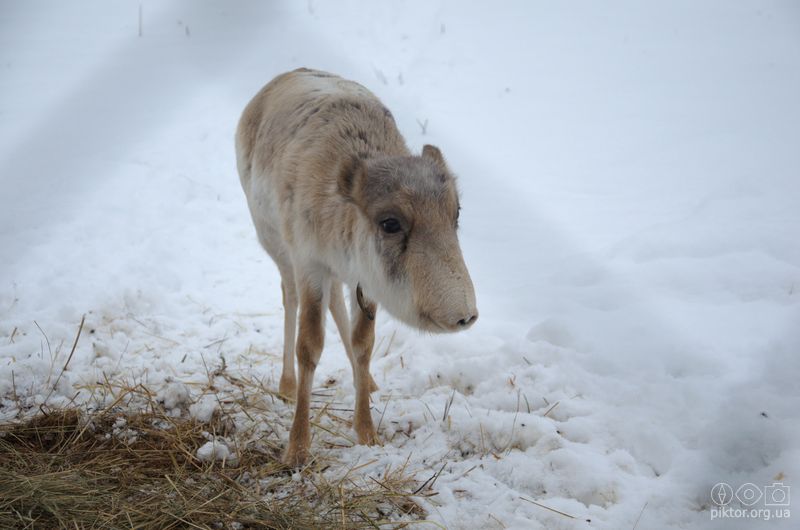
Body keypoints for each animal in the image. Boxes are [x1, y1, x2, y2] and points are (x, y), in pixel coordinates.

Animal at [234, 68, 478, 464]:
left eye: (455, 214)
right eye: (390, 223)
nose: (464, 315)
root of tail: (279, 79)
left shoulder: (367, 282)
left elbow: (363, 343)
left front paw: (367, 432)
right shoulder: (310, 264)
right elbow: (309, 346)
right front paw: (297, 447)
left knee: (337, 305)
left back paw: (371, 382)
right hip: (274, 241)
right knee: (288, 297)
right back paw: (286, 384)